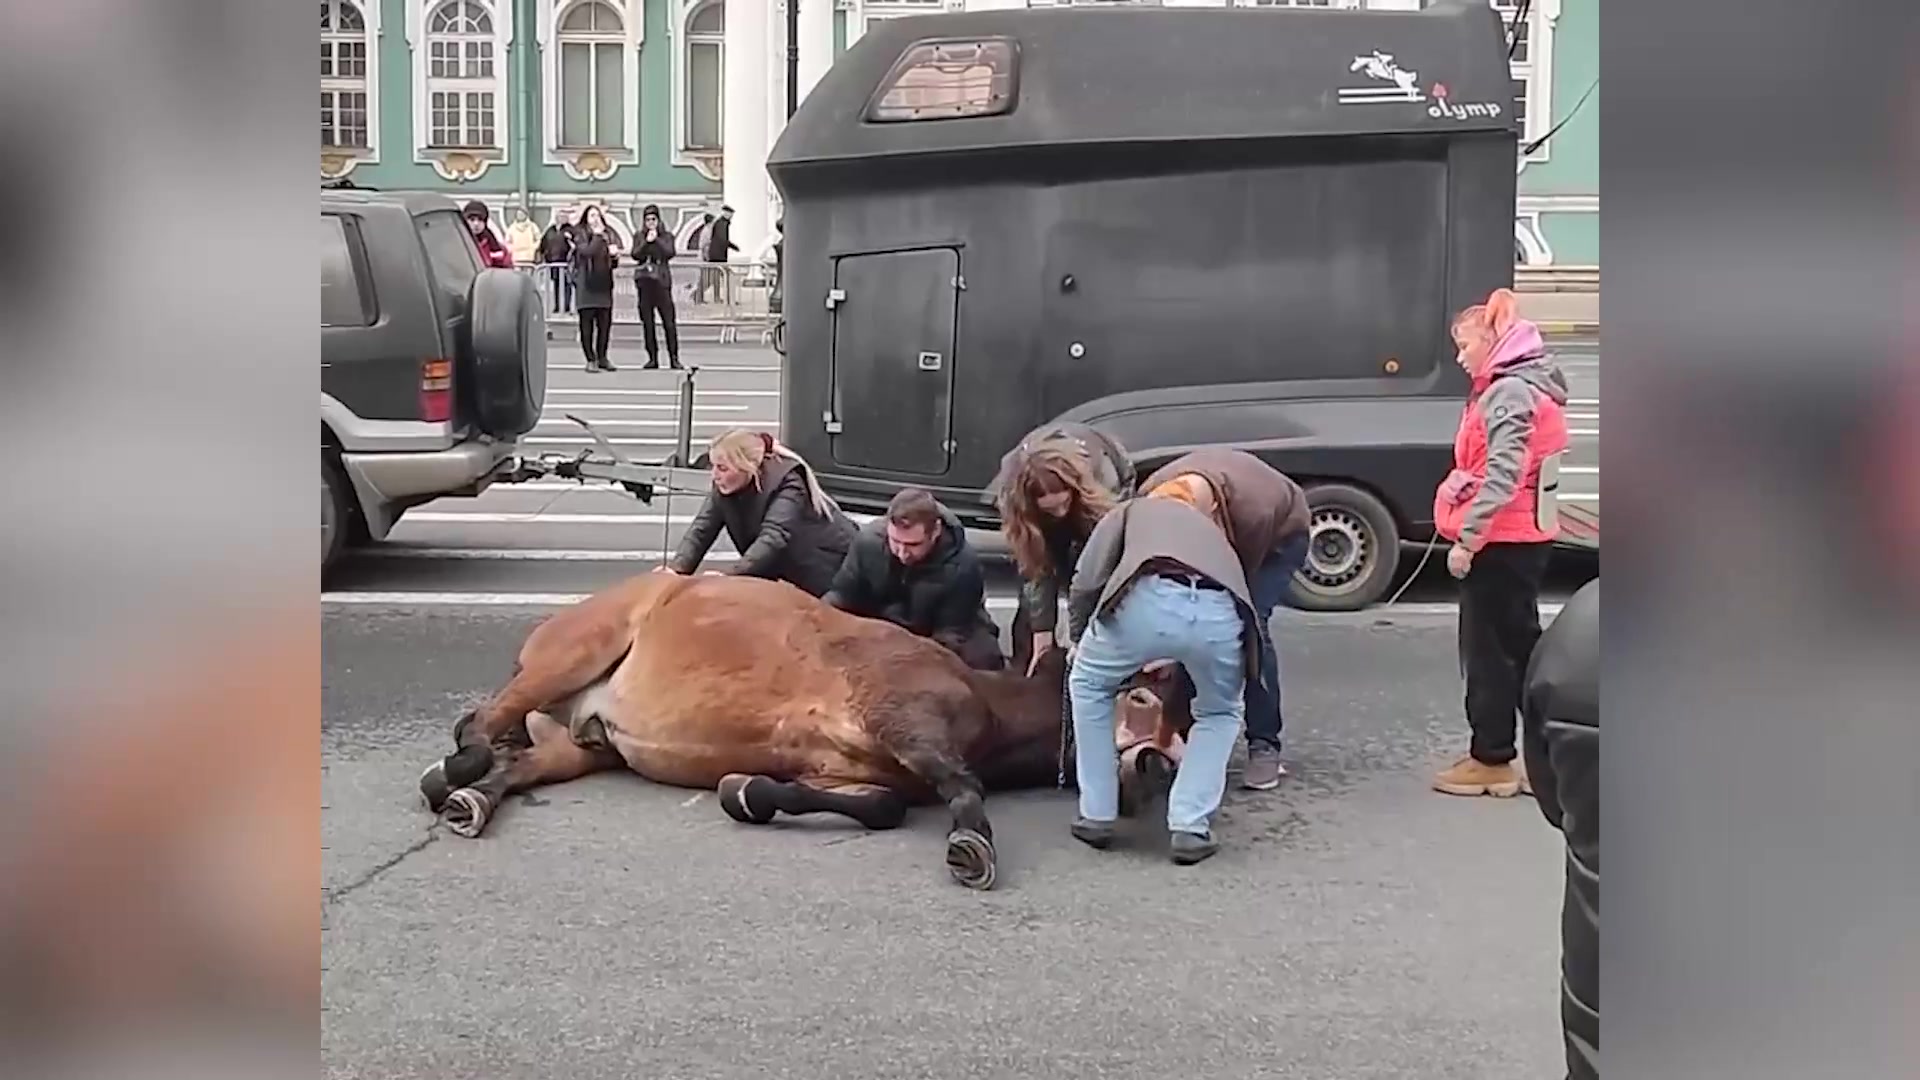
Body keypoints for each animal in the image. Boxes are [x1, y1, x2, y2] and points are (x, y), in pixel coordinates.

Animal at [420, 572, 1182, 883]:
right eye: (1144, 695)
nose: (1157, 767)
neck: (986, 704)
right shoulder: (908, 721)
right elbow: (963, 788)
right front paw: (971, 847)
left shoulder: (848, 766)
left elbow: (879, 805)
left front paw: (748, 792)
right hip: (570, 655)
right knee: (478, 725)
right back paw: (453, 774)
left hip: (583, 744)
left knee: (520, 761)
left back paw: (473, 799)